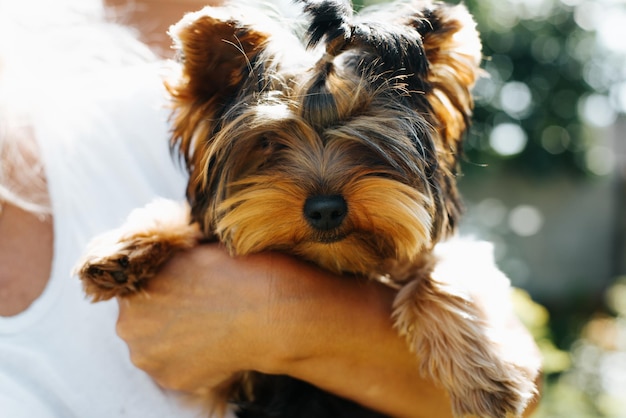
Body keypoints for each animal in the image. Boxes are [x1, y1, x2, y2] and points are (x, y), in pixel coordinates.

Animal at [75, 1, 536, 416]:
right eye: (267, 143)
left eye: (369, 141)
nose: (326, 209)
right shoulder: (224, 379)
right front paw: (128, 245)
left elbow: (448, 272)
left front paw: (483, 374)